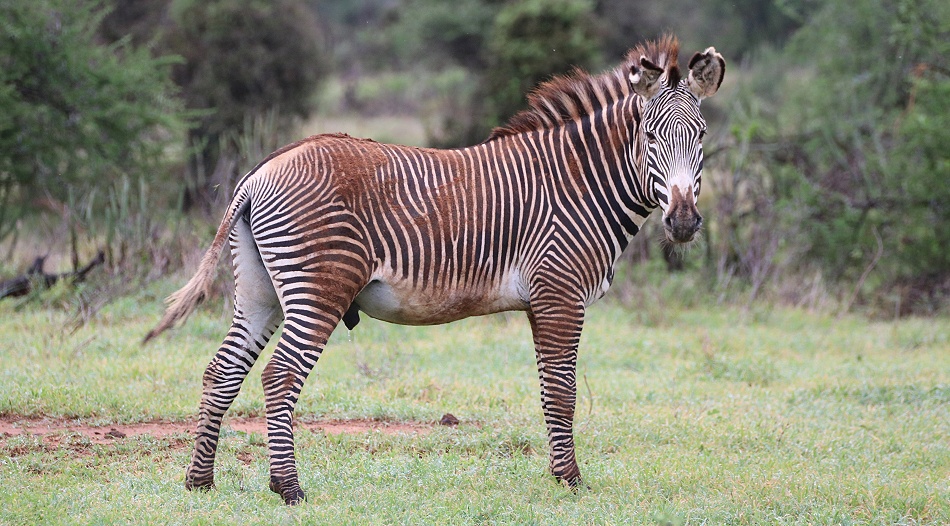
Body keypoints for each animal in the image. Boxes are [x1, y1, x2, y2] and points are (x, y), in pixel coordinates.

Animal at [145, 36, 725, 505]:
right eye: (650, 137)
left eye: (700, 137)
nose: (683, 222)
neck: (582, 184)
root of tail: (262, 170)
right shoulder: (560, 294)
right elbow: (563, 391)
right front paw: (571, 481)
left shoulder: (542, 301)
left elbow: (547, 390)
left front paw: (560, 475)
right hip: (319, 289)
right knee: (279, 375)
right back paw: (288, 488)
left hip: (260, 290)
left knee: (222, 371)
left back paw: (199, 482)